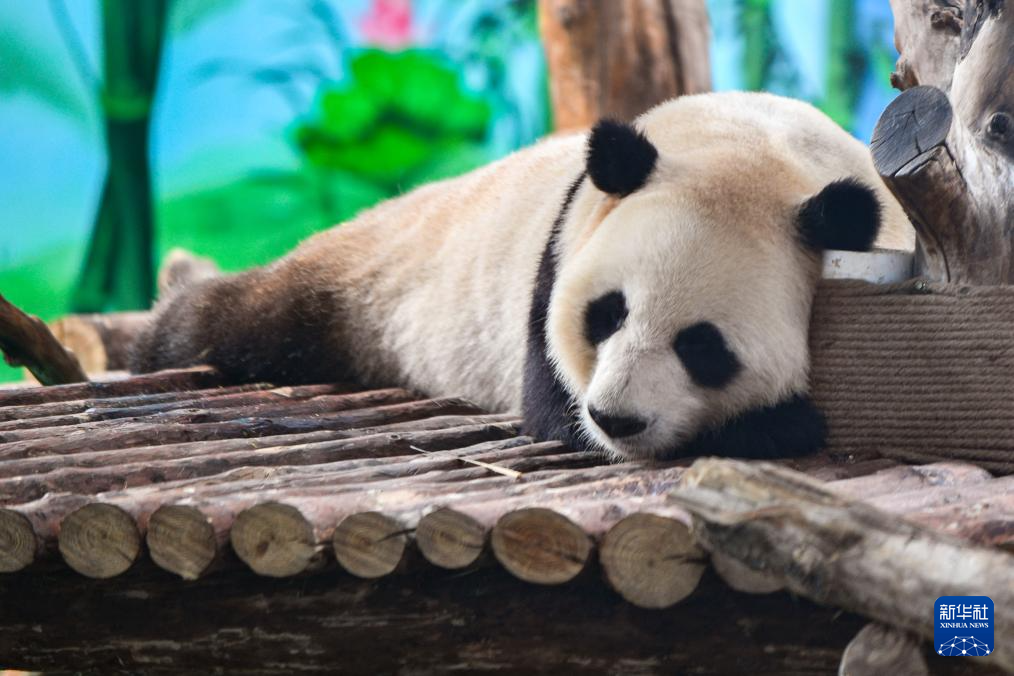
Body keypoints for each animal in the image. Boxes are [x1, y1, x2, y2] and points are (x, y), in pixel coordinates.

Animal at [130, 91, 916, 460]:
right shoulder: (562, 249)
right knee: (241, 319)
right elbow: (550, 407)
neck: (754, 143)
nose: (615, 419)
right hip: (366, 280)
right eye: (607, 313)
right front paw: (782, 423)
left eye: (702, 345)